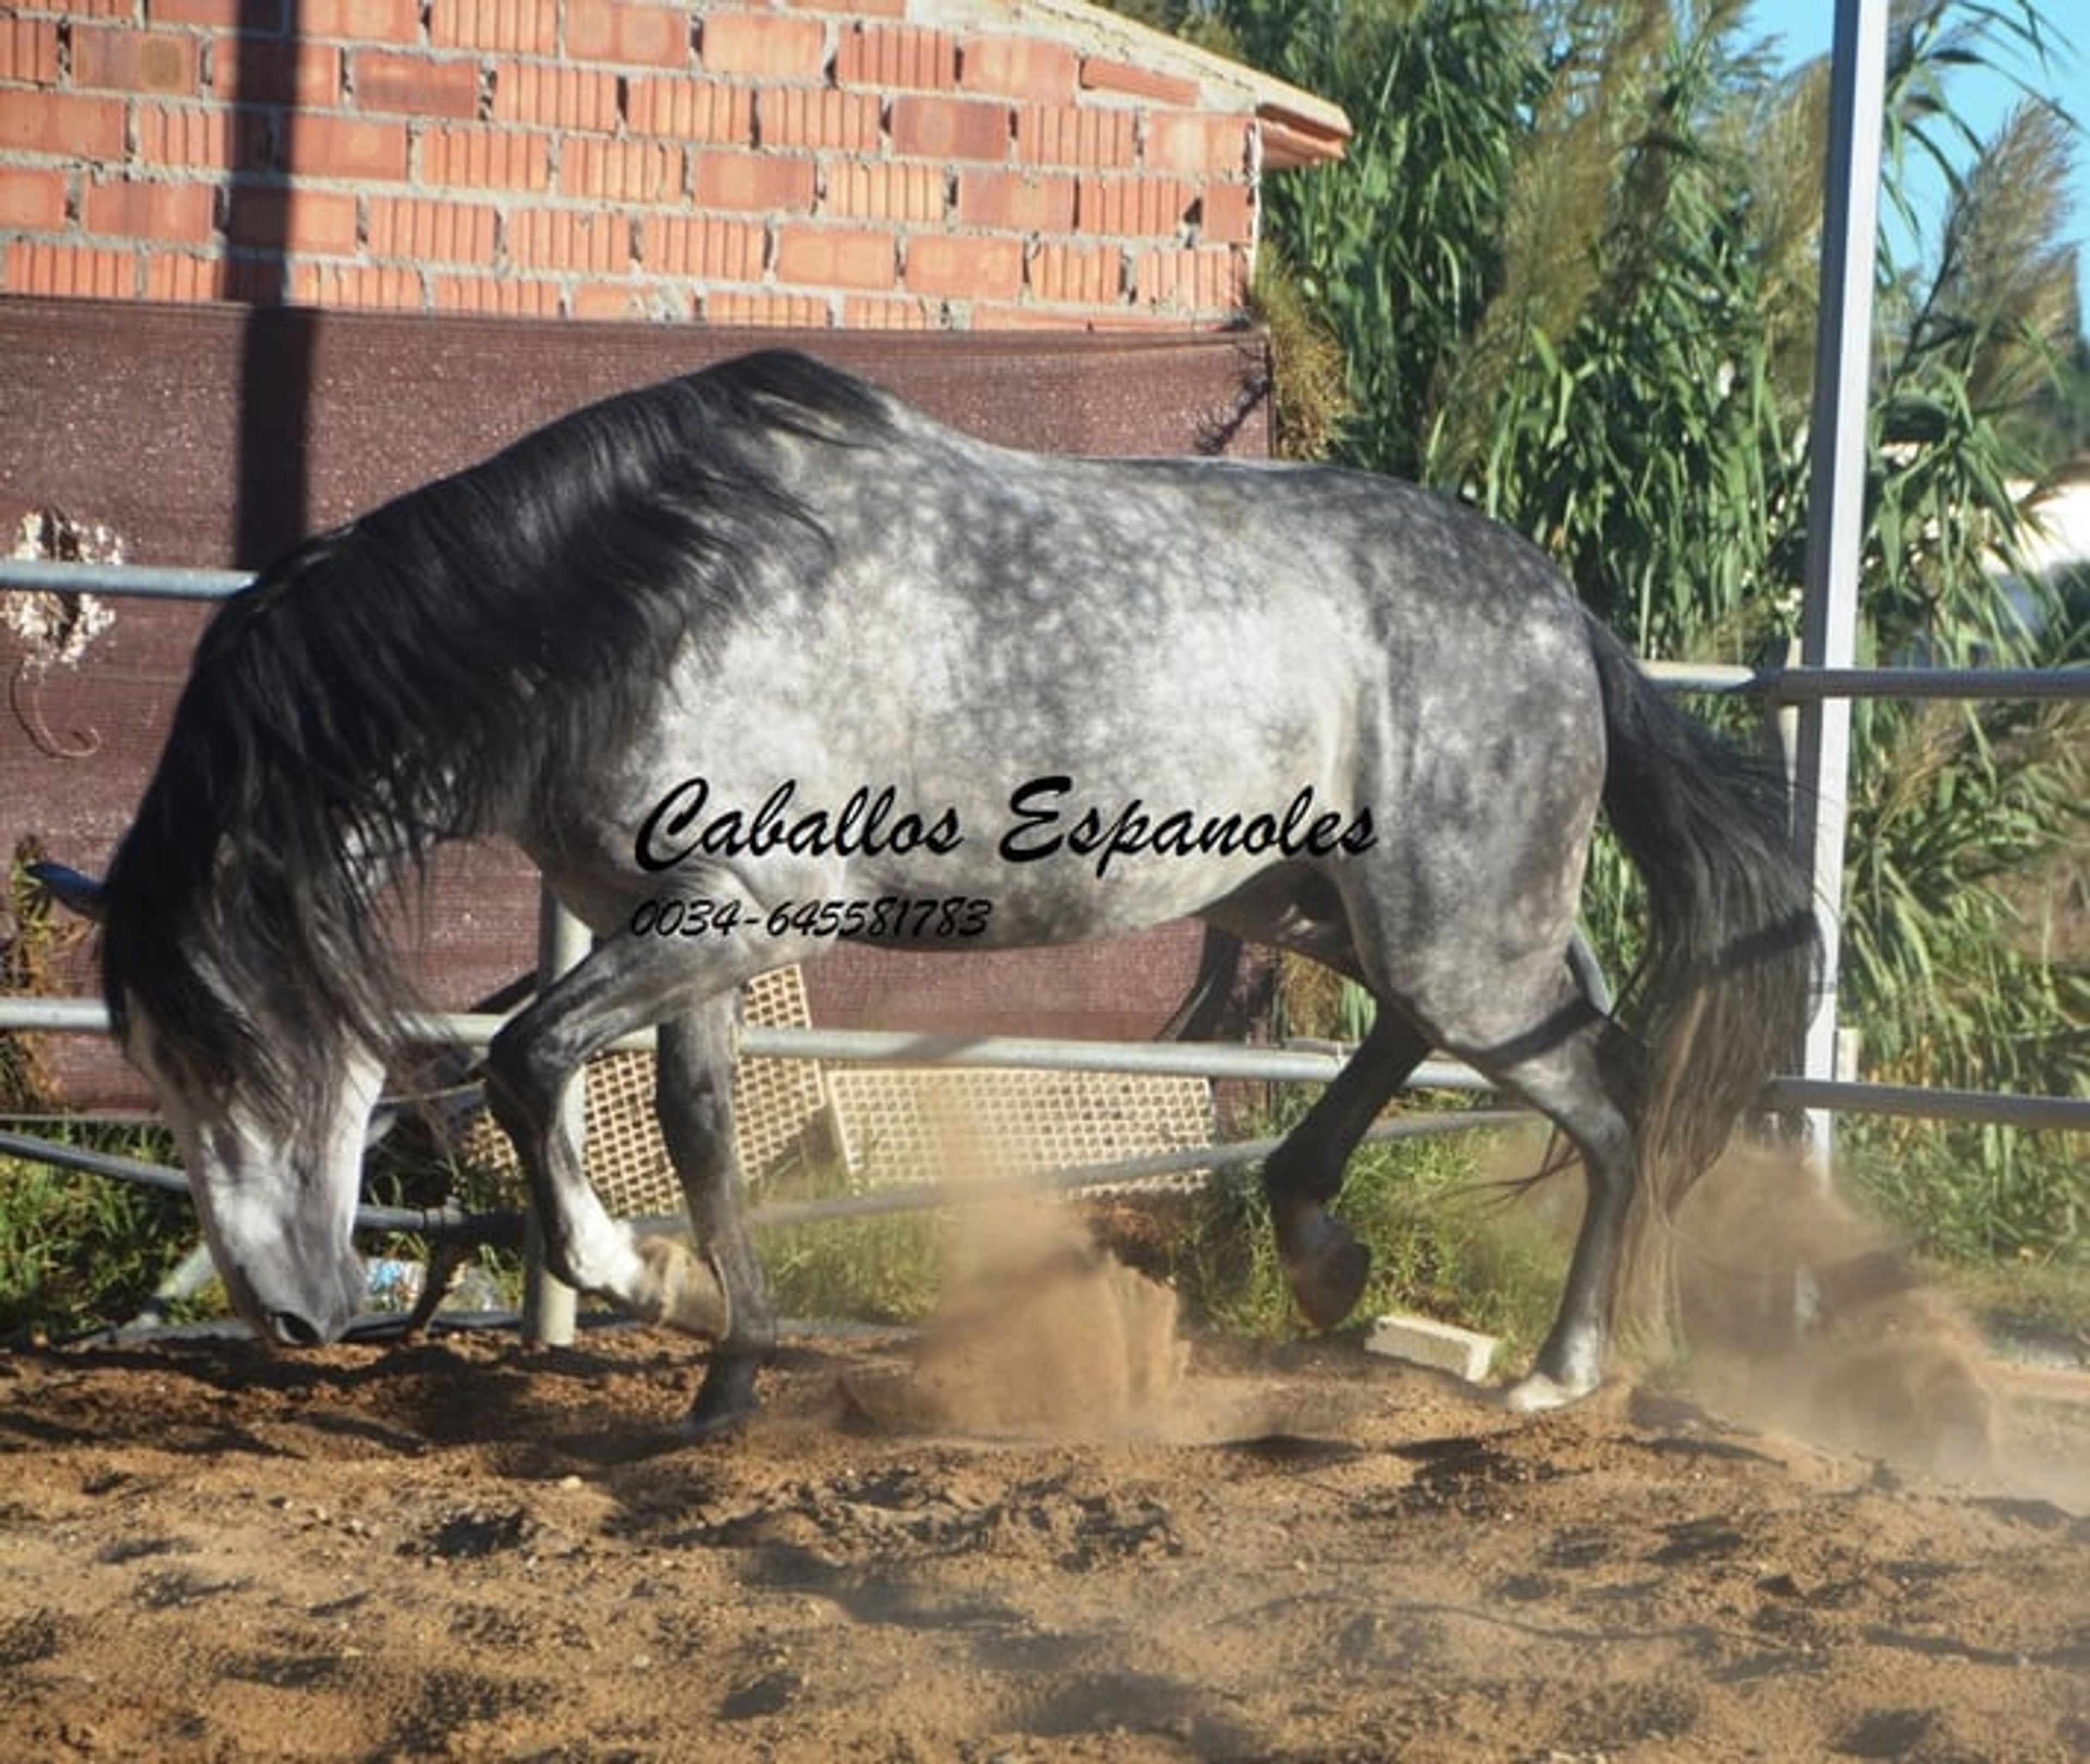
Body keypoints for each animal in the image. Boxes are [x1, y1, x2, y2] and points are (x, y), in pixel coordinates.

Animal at [42, 349, 1816, 1433]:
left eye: (218, 1041)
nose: (287, 1312)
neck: (655, 591)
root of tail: (1562, 611)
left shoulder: (742, 904)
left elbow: (530, 1061)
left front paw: (618, 1274)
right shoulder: (686, 929)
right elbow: (697, 1129)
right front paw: (727, 1370)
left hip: (1460, 933)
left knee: (1605, 1098)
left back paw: (1555, 1372)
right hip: (1317, 904)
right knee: (1410, 1041)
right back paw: (1320, 1251)